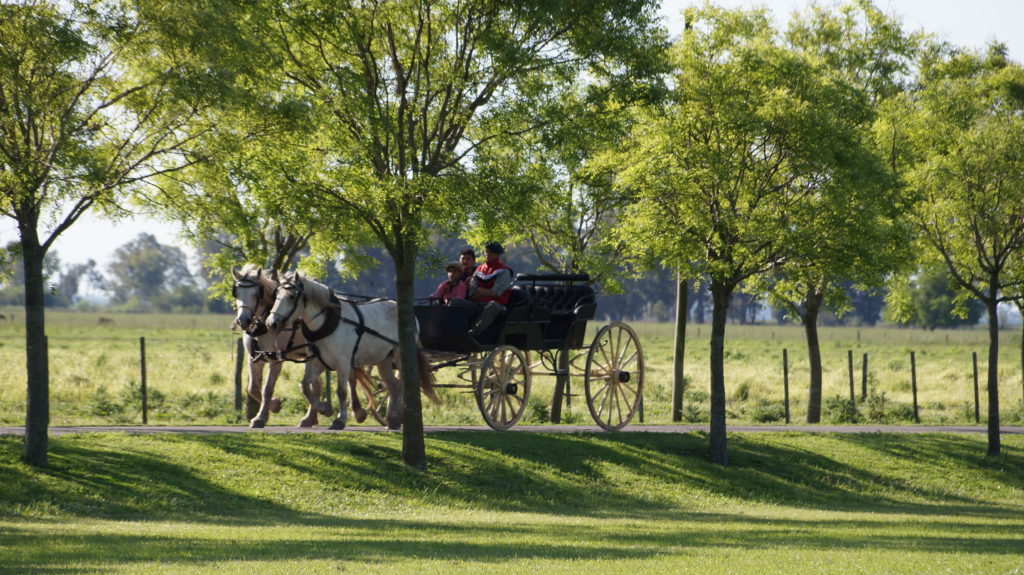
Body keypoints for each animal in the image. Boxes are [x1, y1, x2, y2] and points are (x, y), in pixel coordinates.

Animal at [232, 263, 372, 425]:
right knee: (317, 385)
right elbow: (253, 388)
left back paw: (357, 412)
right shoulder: (254, 359)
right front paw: (272, 407)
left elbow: (267, 389)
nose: (243, 321)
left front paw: (262, 416)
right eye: (237, 293)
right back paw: (310, 418)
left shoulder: (275, 359)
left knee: (350, 378)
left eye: (256, 294)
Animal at [262, 268, 438, 425]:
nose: (271, 324)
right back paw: (392, 419)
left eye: (292, 296)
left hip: (400, 354)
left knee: (403, 384)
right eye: (276, 295)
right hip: (384, 359)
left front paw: (340, 419)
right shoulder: (316, 362)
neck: (328, 323)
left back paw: (397, 417)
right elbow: (304, 386)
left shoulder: (343, 362)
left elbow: (341, 391)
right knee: (393, 385)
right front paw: (324, 409)